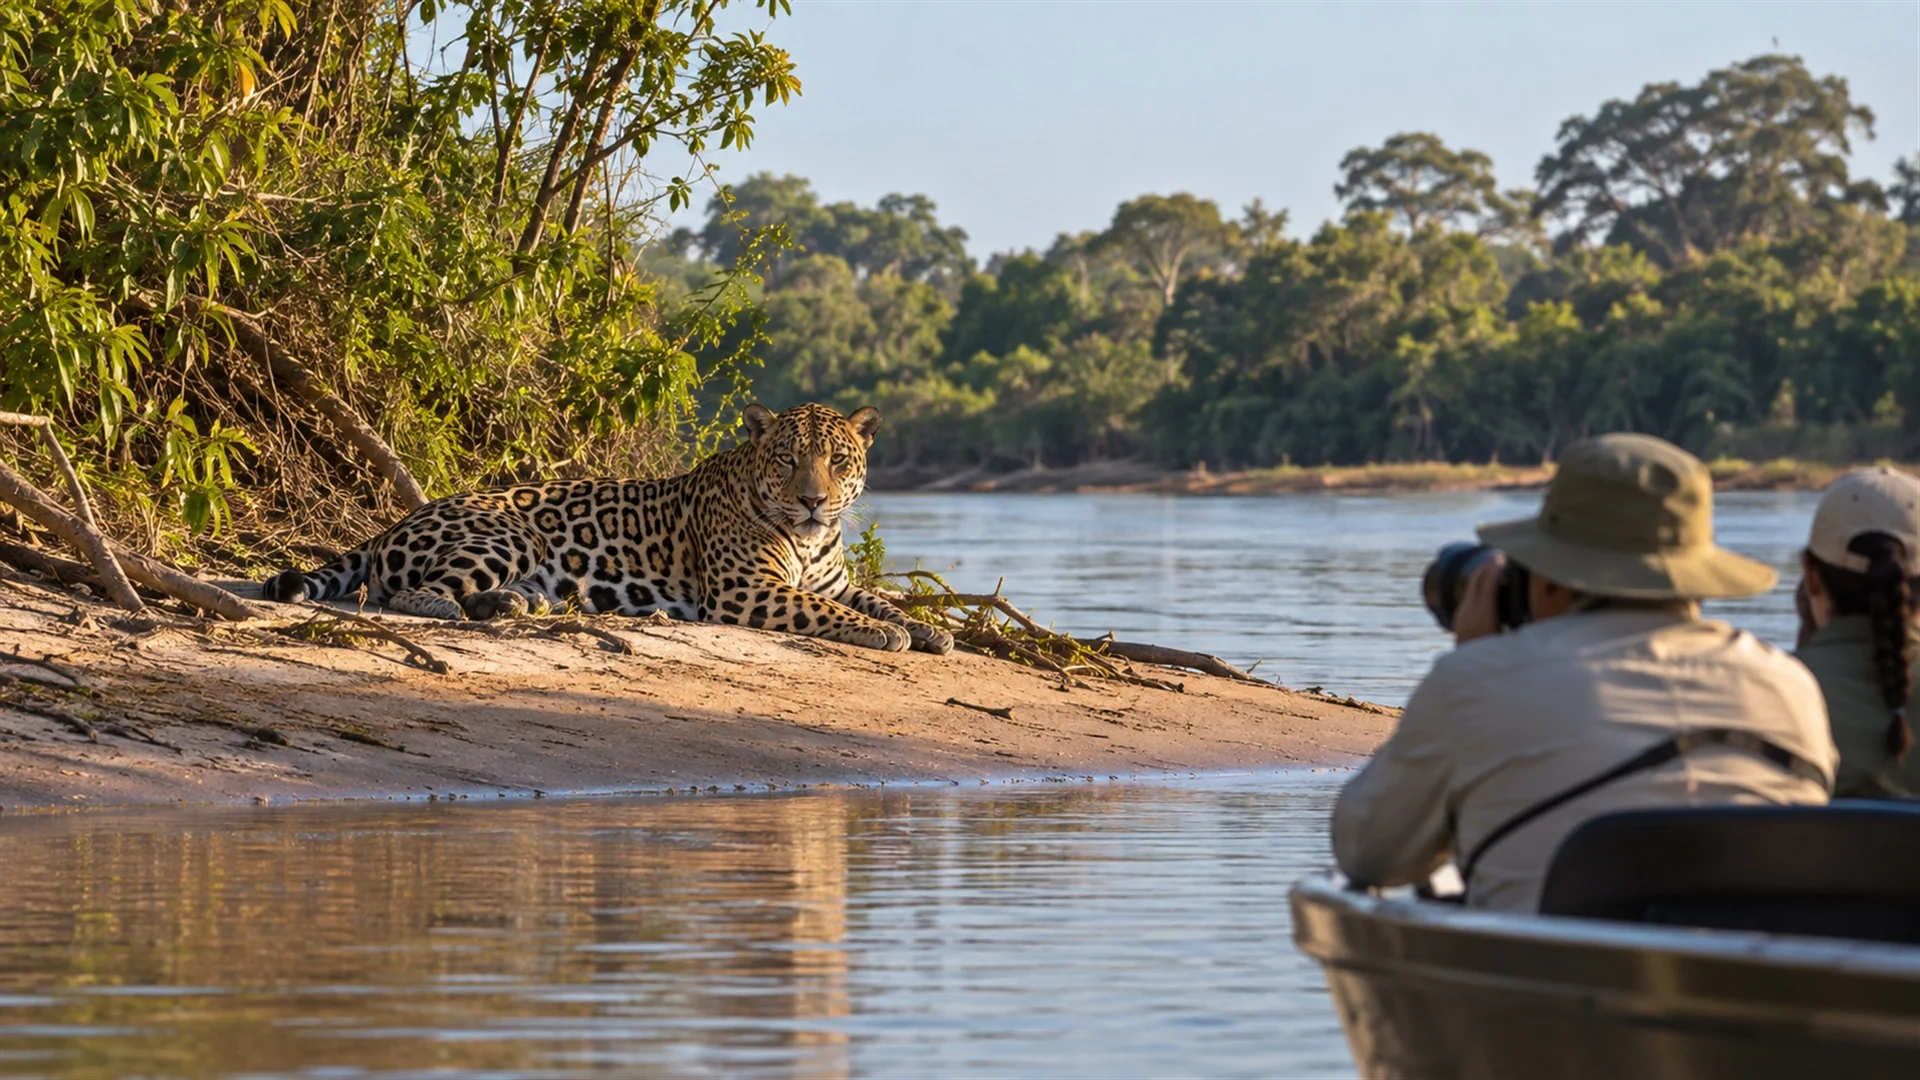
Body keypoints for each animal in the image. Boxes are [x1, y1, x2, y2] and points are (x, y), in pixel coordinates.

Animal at [259, 402, 954, 655]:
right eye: (787, 459)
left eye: (837, 460)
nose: (812, 501)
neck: (809, 540)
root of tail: (391, 525)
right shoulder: (746, 590)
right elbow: (831, 611)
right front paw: (888, 634)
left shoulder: (832, 579)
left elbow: (872, 597)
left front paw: (927, 629)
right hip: (512, 533)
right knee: (404, 592)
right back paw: (456, 608)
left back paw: (509, 605)